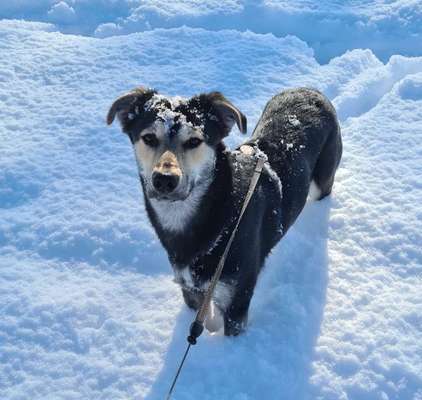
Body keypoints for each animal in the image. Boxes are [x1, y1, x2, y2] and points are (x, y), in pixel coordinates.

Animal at [107, 86, 342, 334]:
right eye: (149, 138)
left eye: (194, 141)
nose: (164, 180)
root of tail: (310, 90)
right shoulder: (191, 290)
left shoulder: (236, 301)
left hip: (324, 176)